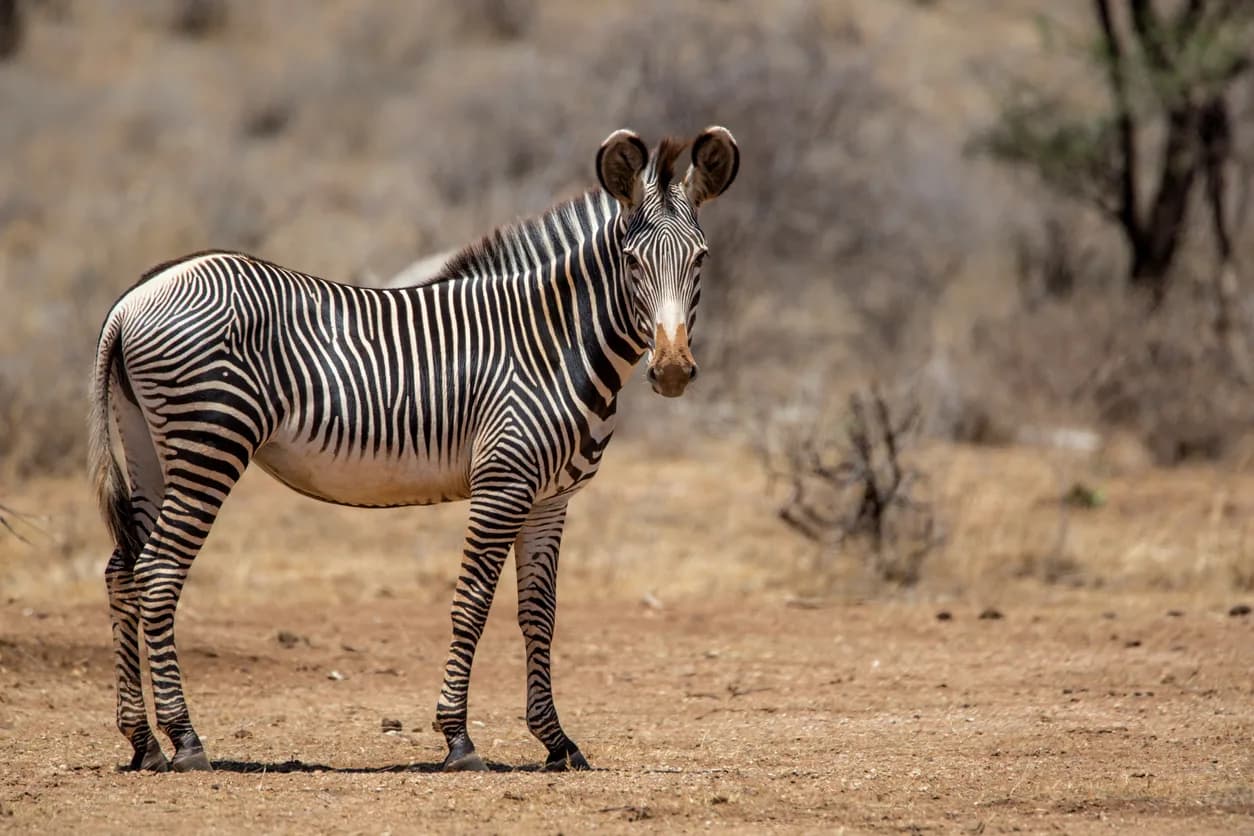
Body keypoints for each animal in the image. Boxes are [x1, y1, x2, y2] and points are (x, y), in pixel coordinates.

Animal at [89, 126, 739, 773]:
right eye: (631, 261)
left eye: (701, 258)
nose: (672, 371)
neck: (553, 343)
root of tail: (133, 298)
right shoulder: (504, 482)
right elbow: (472, 603)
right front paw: (458, 738)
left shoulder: (552, 498)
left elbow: (539, 613)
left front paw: (555, 739)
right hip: (210, 442)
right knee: (159, 570)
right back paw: (185, 739)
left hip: (150, 445)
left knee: (123, 569)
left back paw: (142, 741)